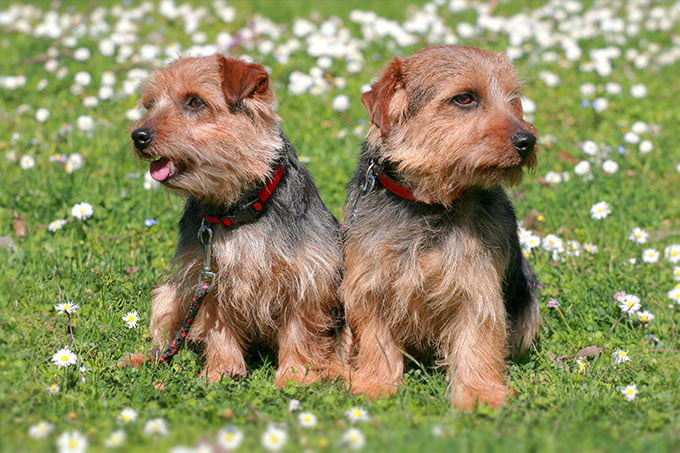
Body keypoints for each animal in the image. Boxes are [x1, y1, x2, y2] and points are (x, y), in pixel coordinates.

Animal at [129, 53, 346, 384]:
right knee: (165, 338)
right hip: (167, 296)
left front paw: (295, 375)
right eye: (150, 104)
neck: (237, 211)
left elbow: (300, 330)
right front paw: (221, 371)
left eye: (194, 102)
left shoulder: (306, 276)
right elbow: (218, 329)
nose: (138, 135)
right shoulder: (209, 278)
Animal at [342, 46, 540, 410]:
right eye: (464, 98)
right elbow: (376, 340)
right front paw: (375, 384)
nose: (528, 141)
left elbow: (477, 343)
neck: (429, 203)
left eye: (513, 99)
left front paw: (480, 395)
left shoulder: (475, 286)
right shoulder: (369, 284)